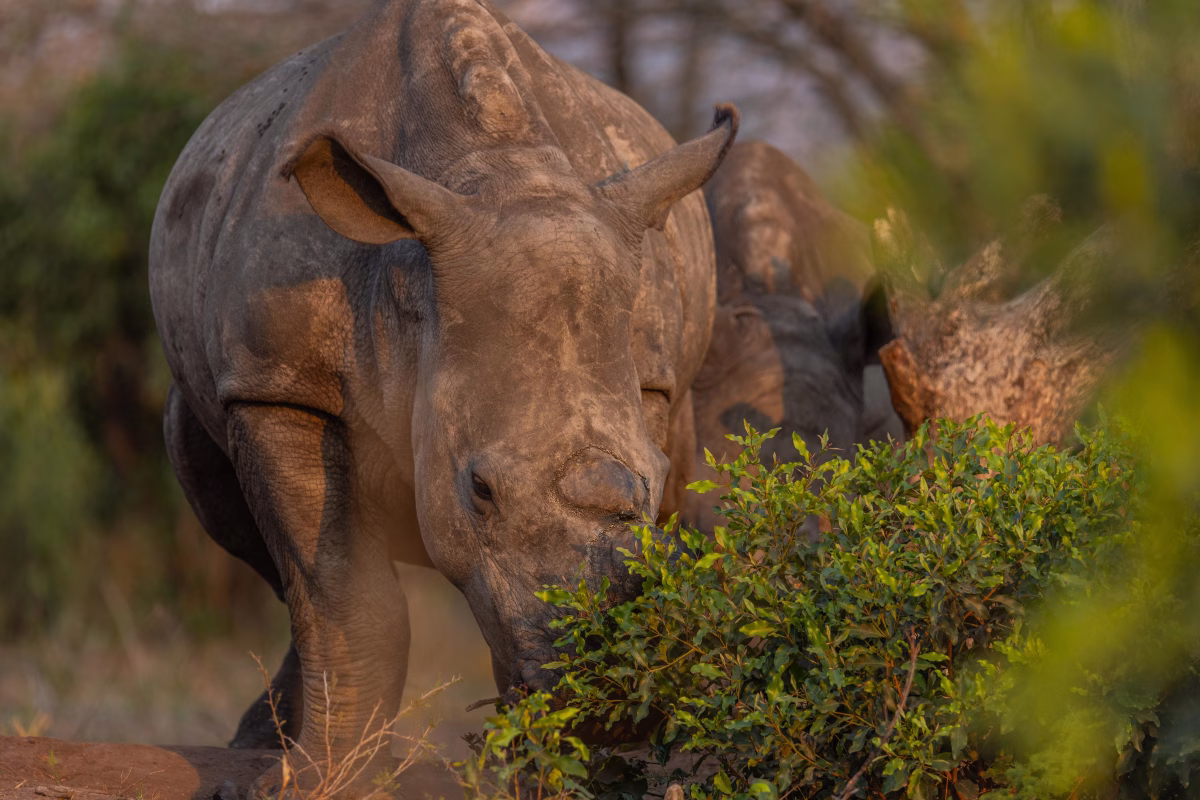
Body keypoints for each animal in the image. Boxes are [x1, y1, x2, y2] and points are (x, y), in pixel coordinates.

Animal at [148, 0, 737, 775]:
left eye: (652, 475)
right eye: (478, 490)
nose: (607, 707)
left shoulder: (650, 384)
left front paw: (553, 769)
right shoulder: (276, 383)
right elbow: (345, 599)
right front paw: (317, 780)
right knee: (234, 521)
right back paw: (260, 744)